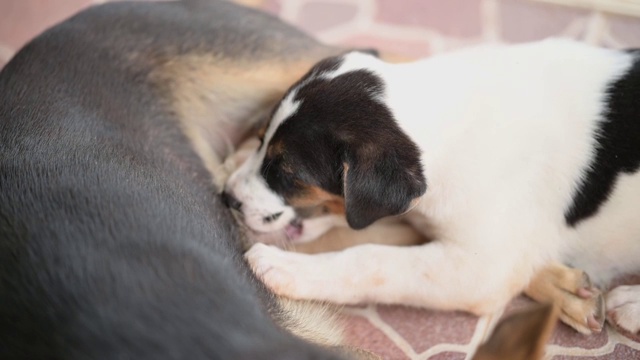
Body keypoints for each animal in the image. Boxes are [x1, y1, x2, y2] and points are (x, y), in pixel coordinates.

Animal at [224, 39, 640, 338]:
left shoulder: (477, 268)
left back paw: (629, 306)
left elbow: (372, 260)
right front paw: (565, 289)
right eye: (259, 139)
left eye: (287, 173)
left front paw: (284, 266)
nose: (227, 198)